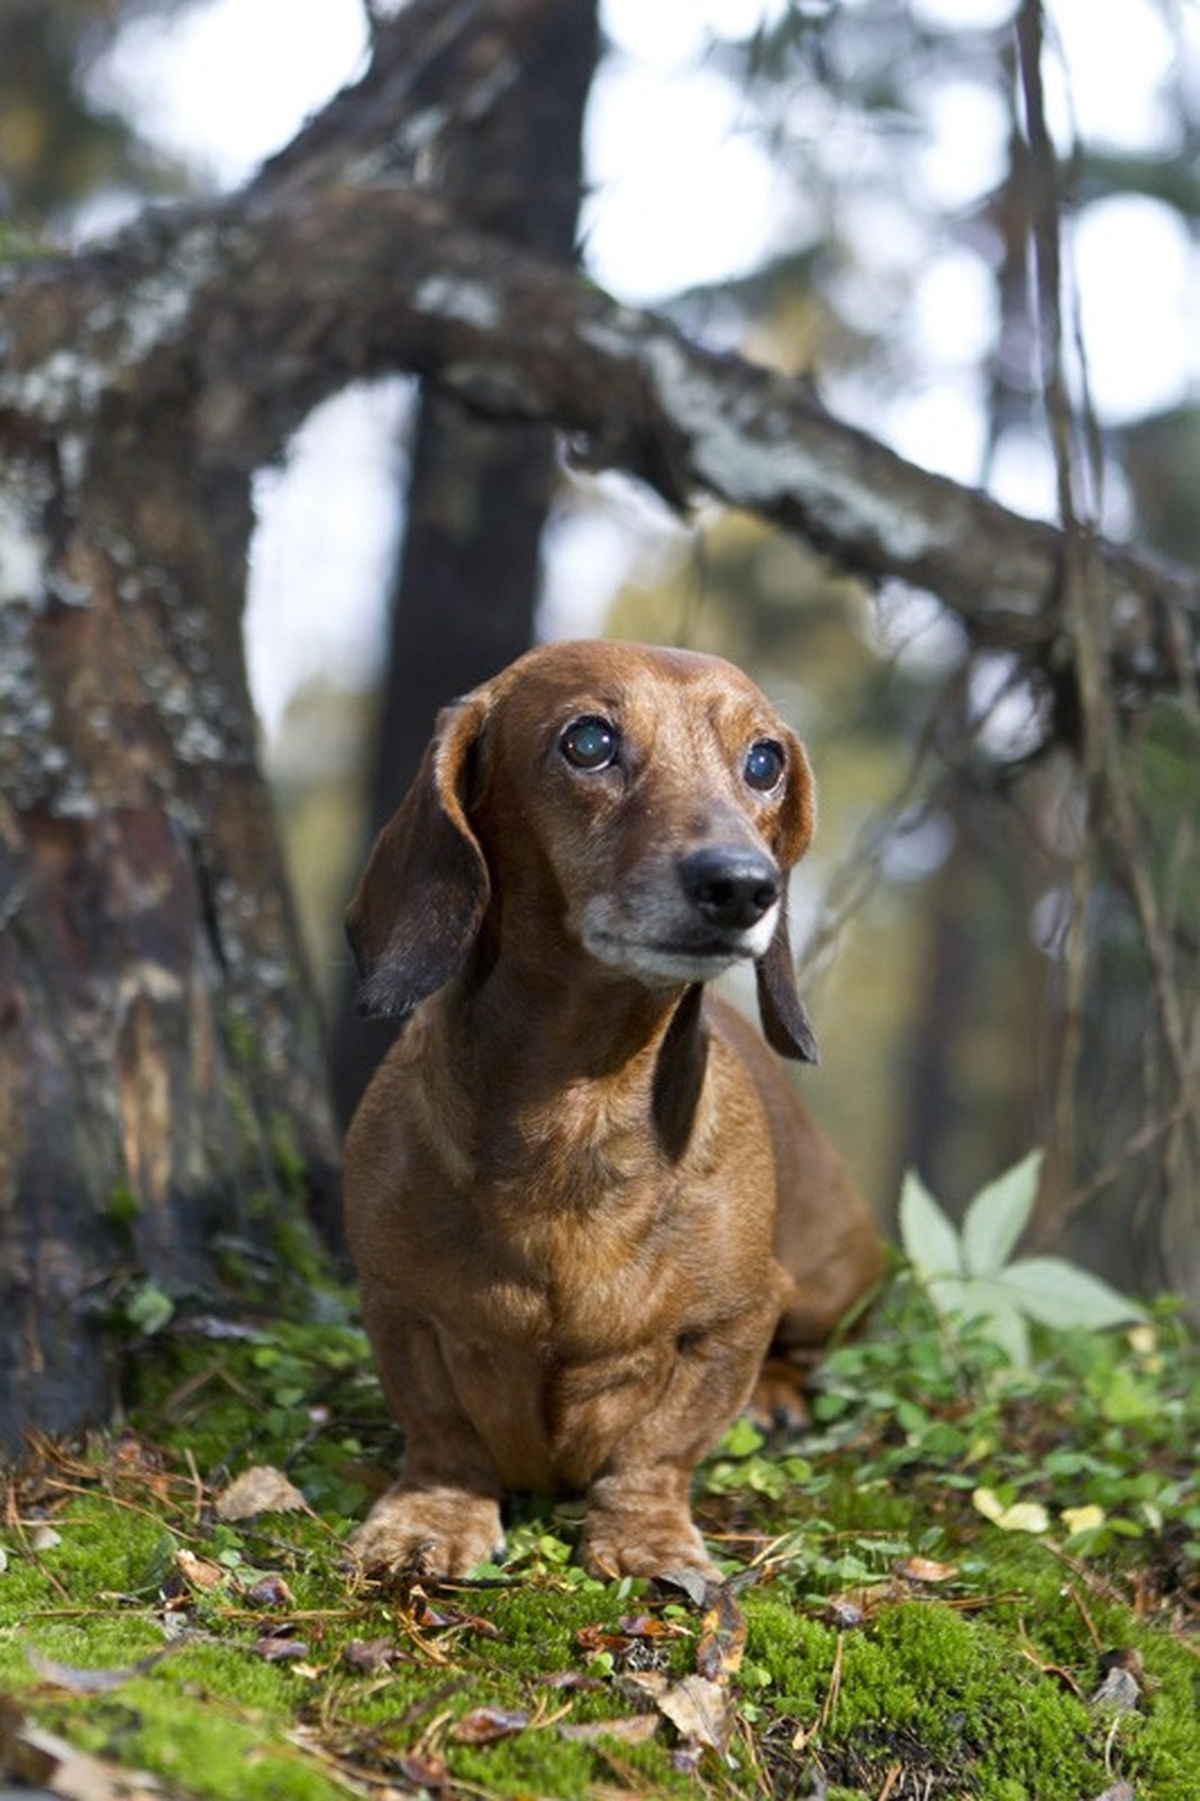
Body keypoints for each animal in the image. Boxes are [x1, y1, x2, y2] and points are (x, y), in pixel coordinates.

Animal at [342, 639, 882, 1581]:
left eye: (764, 761)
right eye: (588, 741)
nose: (744, 885)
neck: (579, 1106)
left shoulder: (734, 1322)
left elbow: (658, 1446)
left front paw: (645, 1536)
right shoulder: (396, 1300)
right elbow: (440, 1429)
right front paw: (431, 1517)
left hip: (829, 1282)